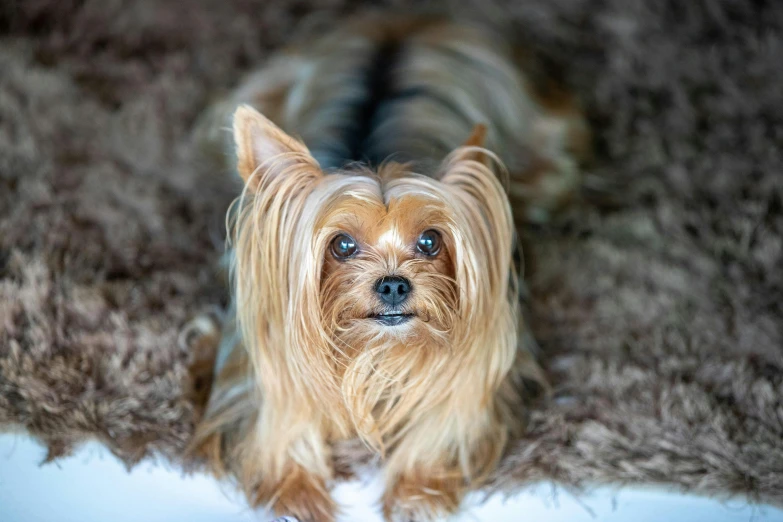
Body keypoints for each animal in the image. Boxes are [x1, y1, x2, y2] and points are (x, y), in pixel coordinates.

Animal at [191, 9, 588, 520]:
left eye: (430, 240)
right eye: (341, 245)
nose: (394, 285)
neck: (375, 352)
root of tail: (404, 20)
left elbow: (449, 416)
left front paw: (417, 492)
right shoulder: (254, 356)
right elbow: (277, 415)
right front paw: (297, 491)